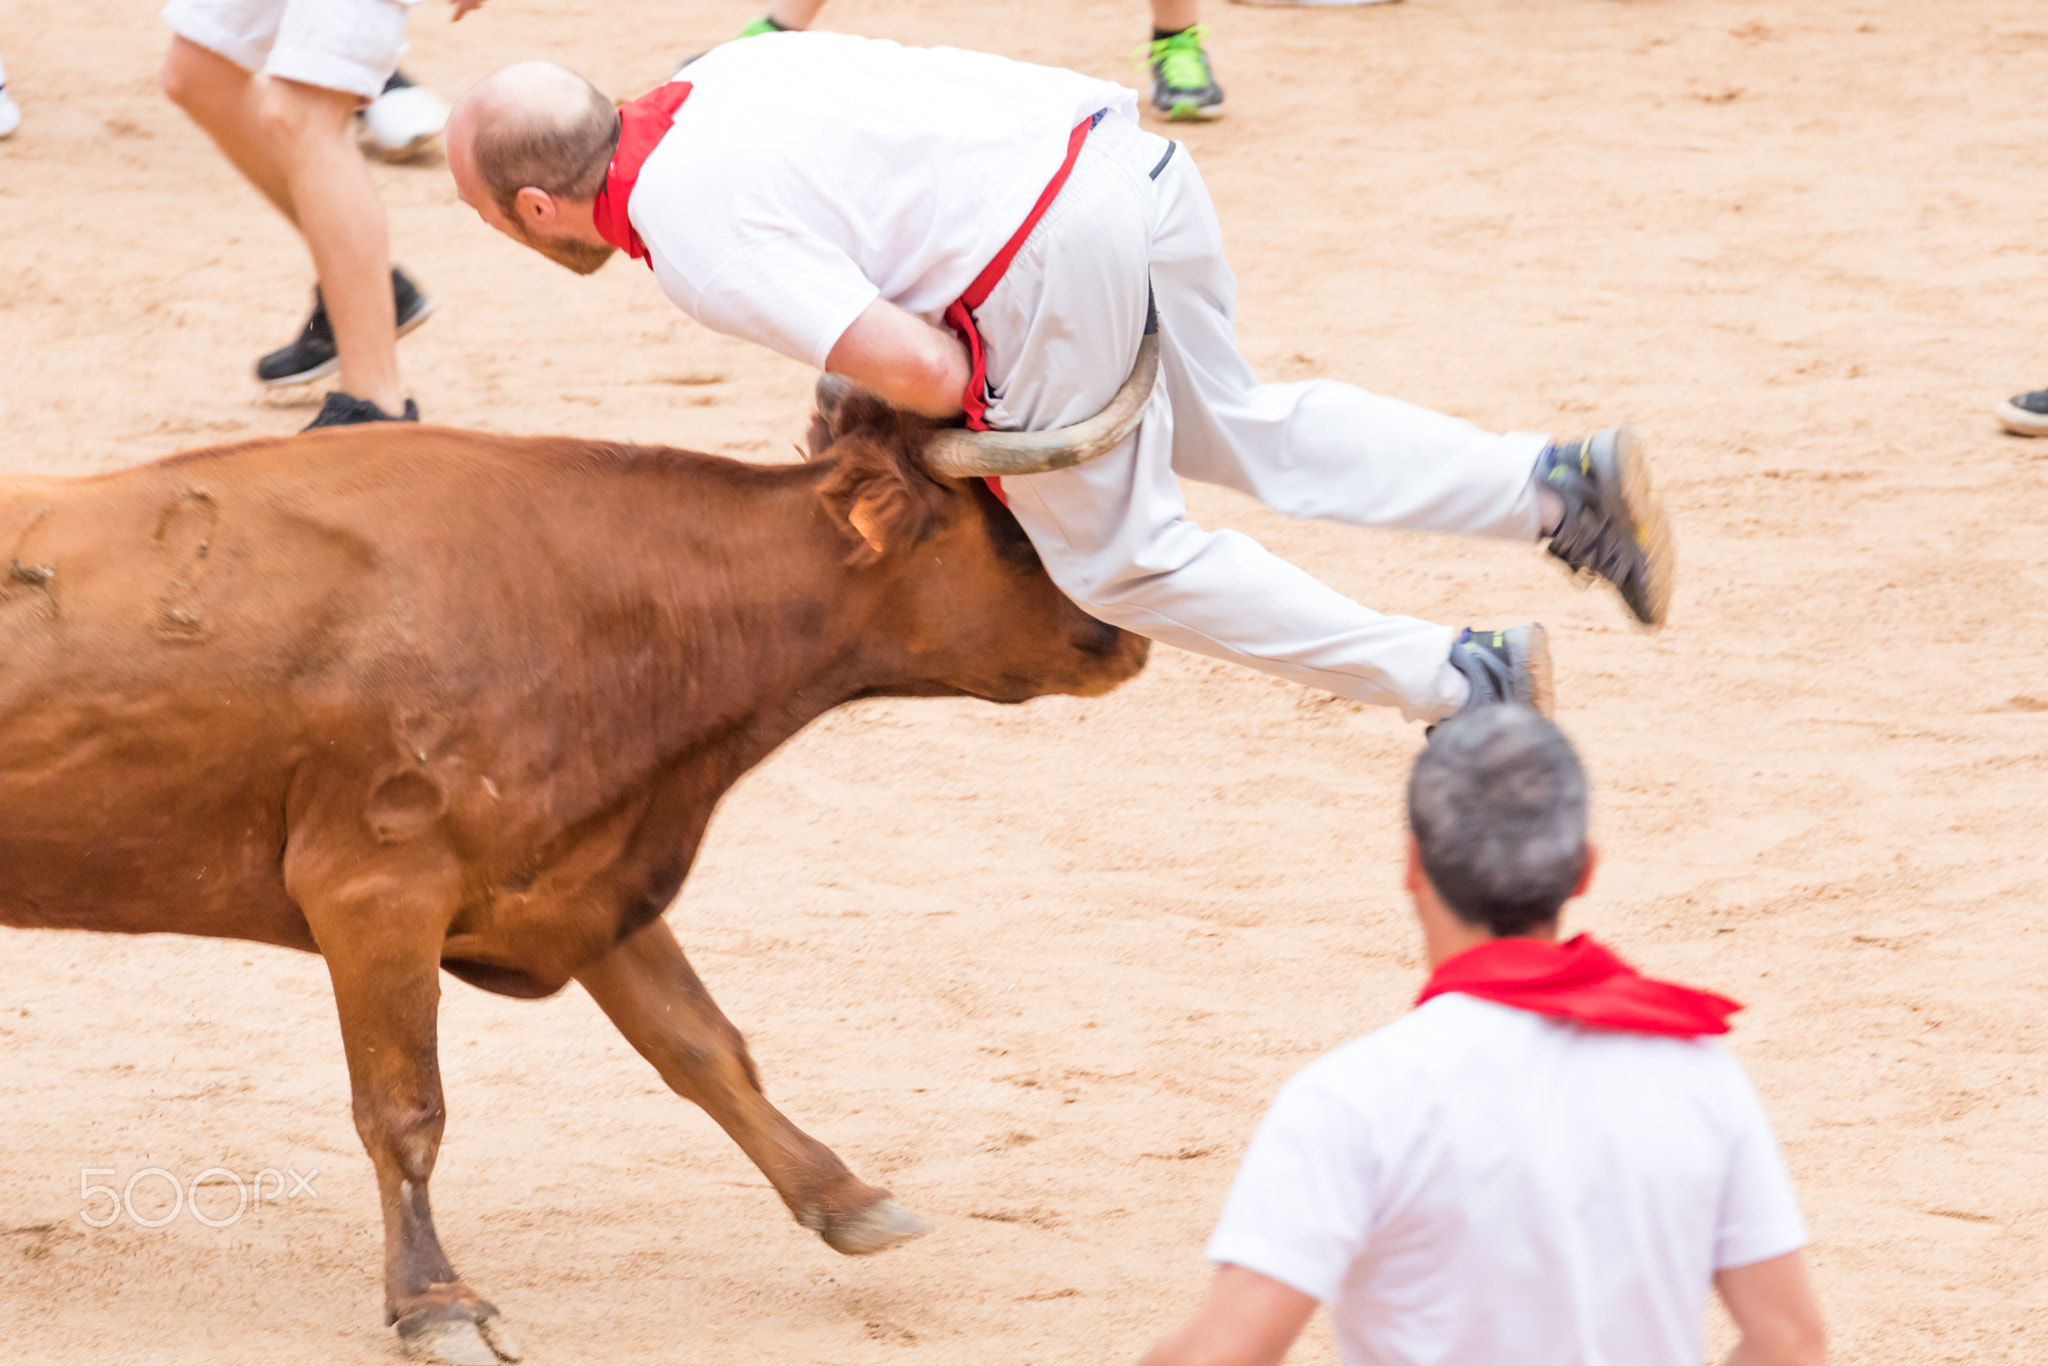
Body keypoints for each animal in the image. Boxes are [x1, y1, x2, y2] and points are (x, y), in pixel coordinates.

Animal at [0, 370, 1155, 1359]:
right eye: (1016, 533)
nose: (1127, 633)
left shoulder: (581, 875)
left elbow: (702, 1046)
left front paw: (845, 1198)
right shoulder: (375, 894)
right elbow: (404, 1112)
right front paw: (435, 1300)